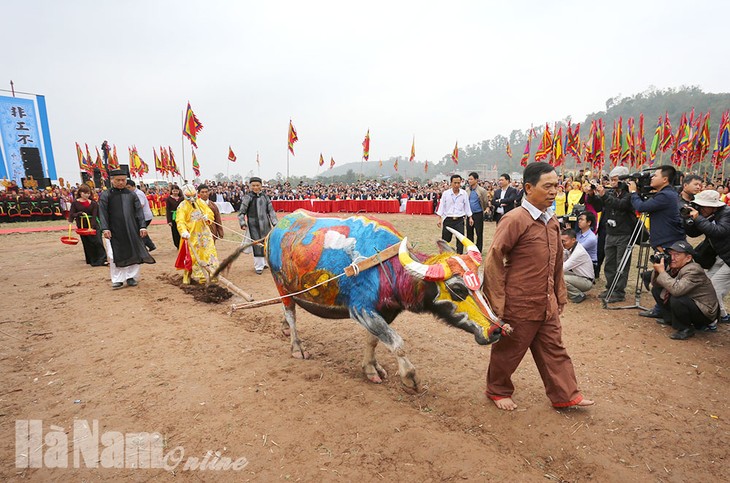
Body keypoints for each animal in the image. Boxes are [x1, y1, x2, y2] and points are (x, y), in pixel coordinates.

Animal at [266, 210, 506, 392]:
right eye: (457, 289)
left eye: (480, 284)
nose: (496, 330)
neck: (385, 267)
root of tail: (273, 232)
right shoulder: (361, 310)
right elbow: (397, 343)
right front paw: (410, 377)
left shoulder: (383, 312)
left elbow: (374, 340)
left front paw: (371, 368)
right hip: (281, 286)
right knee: (291, 314)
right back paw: (297, 347)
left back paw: (283, 328)